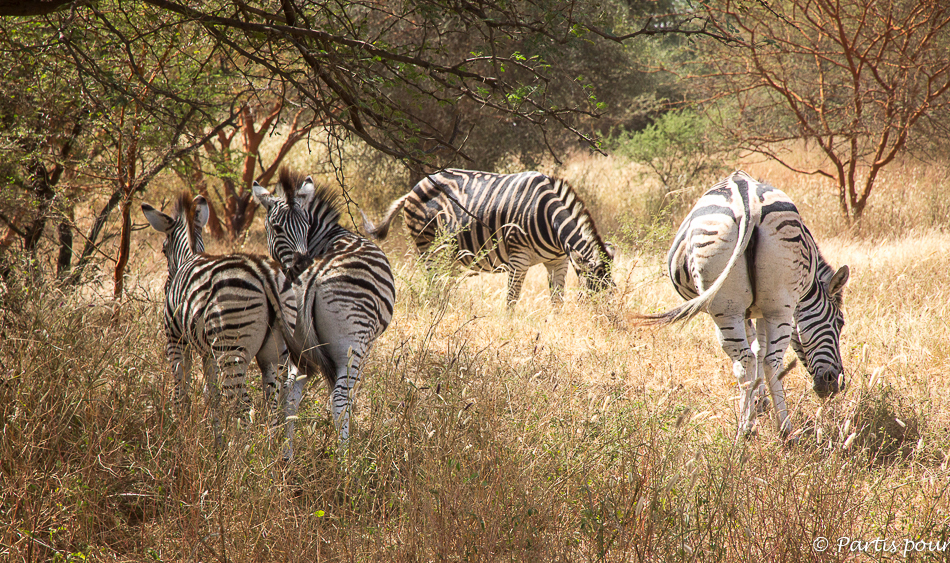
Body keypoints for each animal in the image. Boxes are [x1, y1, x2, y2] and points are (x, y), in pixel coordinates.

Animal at [139, 194, 322, 440]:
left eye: (163, 250)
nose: (166, 287)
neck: (190, 255)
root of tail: (263, 273)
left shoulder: (176, 339)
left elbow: (181, 389)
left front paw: (180, 430)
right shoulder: (207, 351)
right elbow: (211, 393)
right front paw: (215, 438)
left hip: (231, 350)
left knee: (242, 406)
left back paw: (239, 449)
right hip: (275, 351)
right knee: (275, 402)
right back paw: (268, 447)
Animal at [251, 169, 396, 458]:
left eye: (306, 227)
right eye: (277, 227)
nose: (302, 263)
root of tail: (313, 274)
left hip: (297, 344)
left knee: (289, 394)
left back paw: (286, 456)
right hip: (352, 344)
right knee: (340, 399)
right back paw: (346, 462)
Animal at [360, 167, 612, 308]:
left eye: (612, 292)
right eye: (594, 292)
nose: (606, 325)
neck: (551, 222)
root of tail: (415, 186)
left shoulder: (558, 261)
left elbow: (557, 301)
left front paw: (553, 327)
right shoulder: (518, 257)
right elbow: (511, 299)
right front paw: (509, 330)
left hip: (448, 255)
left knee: (444, 283)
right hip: (427, 245)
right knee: (433, 283)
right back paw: (436, 309)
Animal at [636, 172, 852, 440]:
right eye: (840, 323)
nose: (835, 385)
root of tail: (748, 205)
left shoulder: (755, 310)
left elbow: (756, 349)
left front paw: (757, 404)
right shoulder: (761, 311)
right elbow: (759, 348)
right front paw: (759, 403)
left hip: (730, 307)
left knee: (750, 360)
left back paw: (752, 429)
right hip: (774, 304)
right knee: (766, 360)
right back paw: (777, 429)